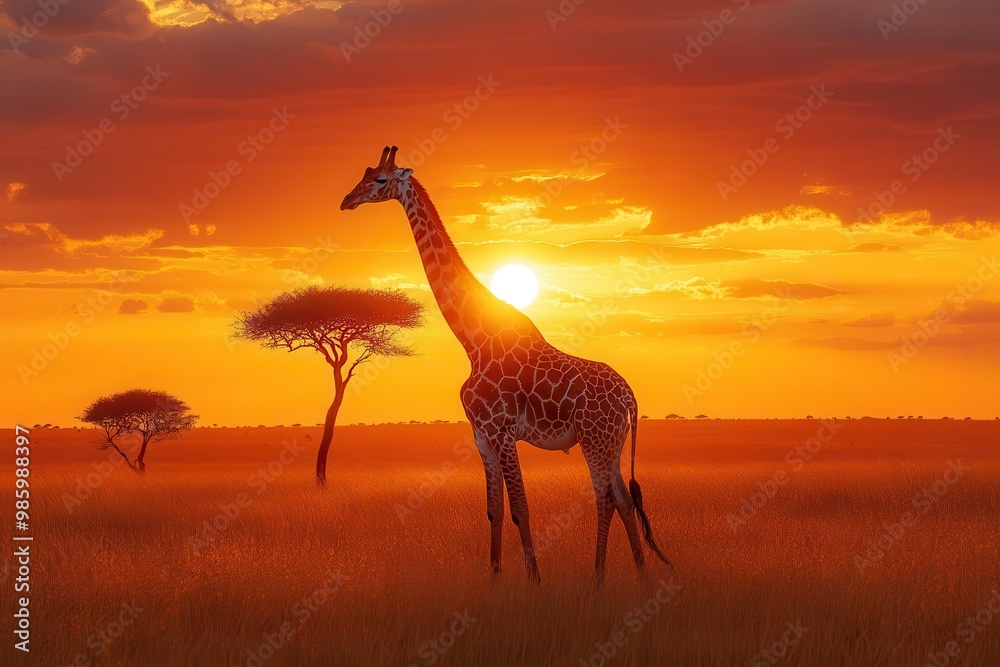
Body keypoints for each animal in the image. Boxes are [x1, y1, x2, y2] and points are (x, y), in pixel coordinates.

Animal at [340, 146, 672, 584]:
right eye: (364, 173)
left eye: (380, 180)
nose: (347, 201)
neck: (473, 341)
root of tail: (631, 398)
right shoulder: (480, 434)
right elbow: (494, 510)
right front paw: (495, 578)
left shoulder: (501, 431)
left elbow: (520, 508)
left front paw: (534, 582)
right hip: (611, 442)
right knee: (623, 498)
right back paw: (642, 578)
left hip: (595, 440)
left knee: (604, 498)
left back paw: (599, 580)